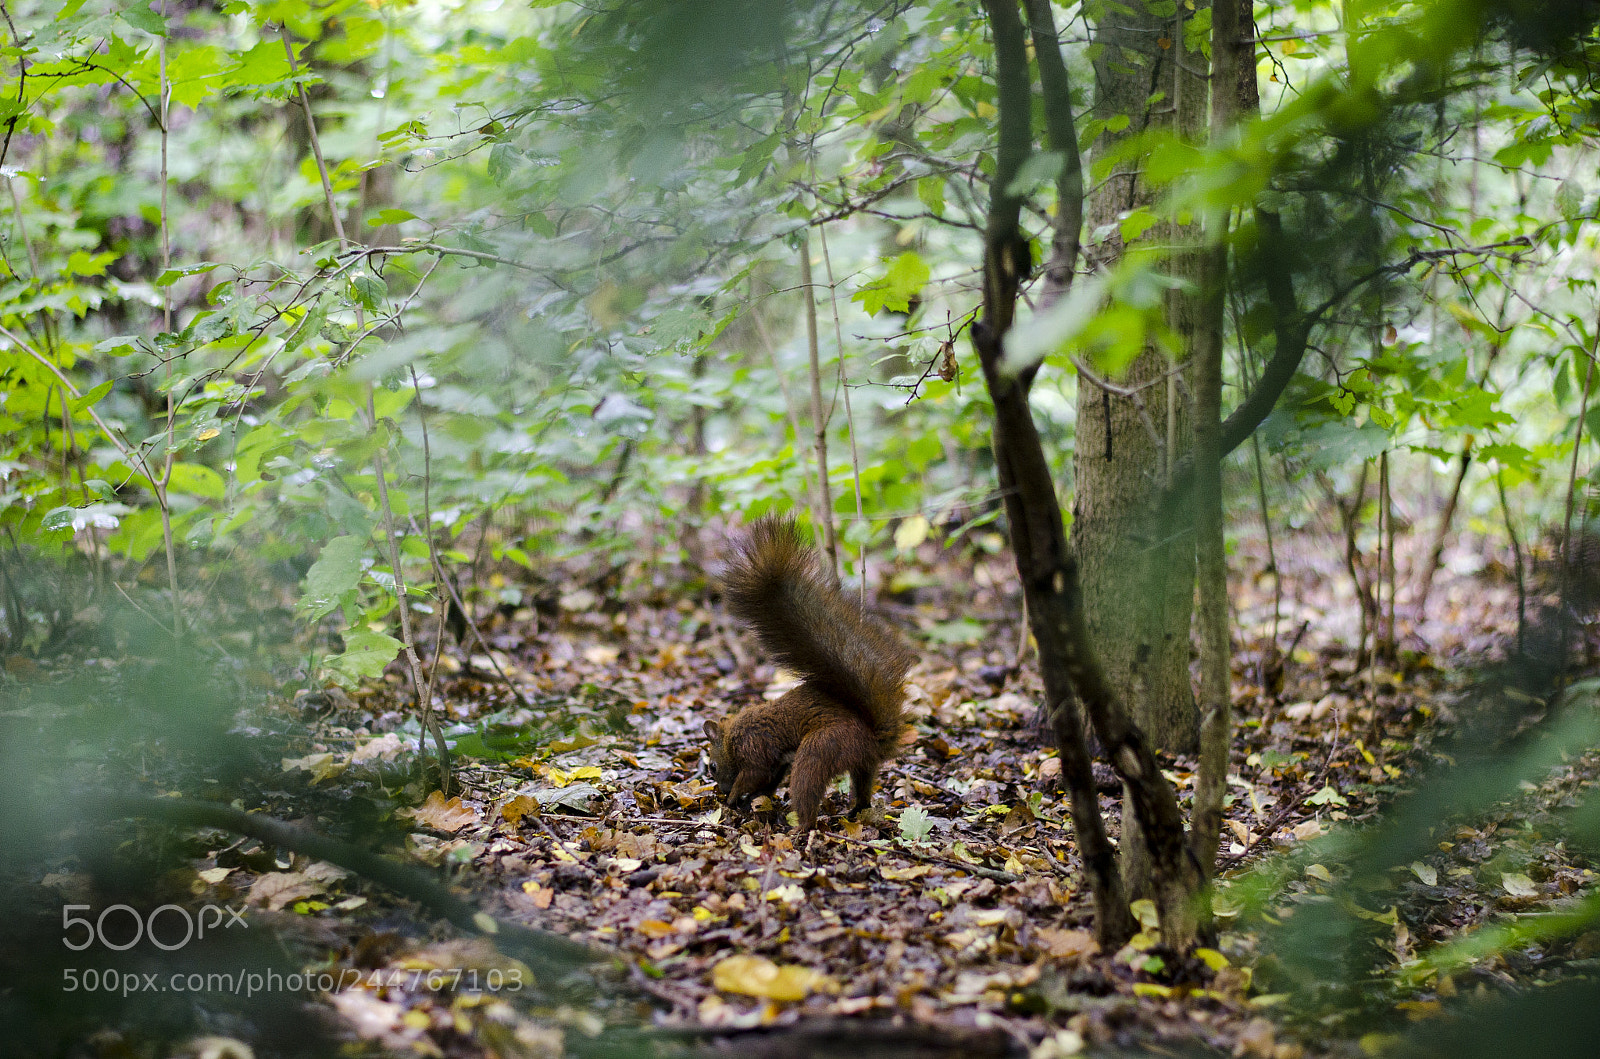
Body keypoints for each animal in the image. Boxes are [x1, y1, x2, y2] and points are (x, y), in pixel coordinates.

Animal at [703, 516, 917, 832]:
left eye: (713, 766)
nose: (720, 789)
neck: (733, 736)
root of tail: (872, 737)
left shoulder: (755, 748)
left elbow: (753, 774)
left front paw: (732, 798)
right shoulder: (777, 762)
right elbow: (768, 781)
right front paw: (749, 799)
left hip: (821, 749)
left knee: (807, 788)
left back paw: (799, 828)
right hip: (861, 765)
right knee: (863, 787)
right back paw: (855, 810)